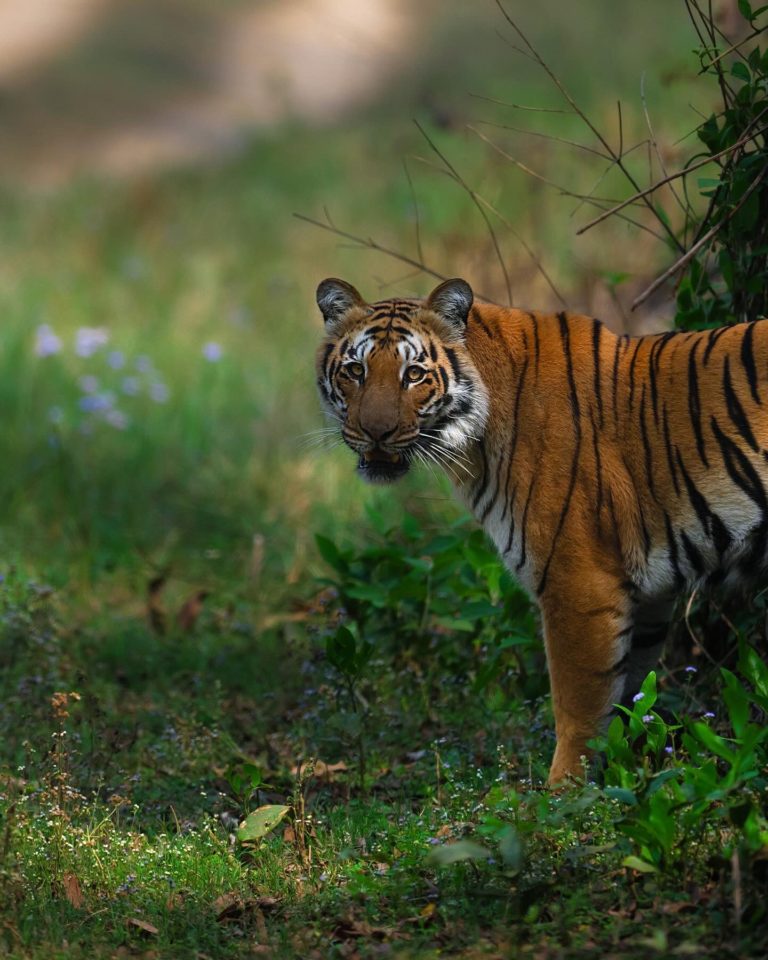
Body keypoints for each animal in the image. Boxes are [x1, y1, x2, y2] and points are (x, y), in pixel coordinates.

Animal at [312, 274, 768, 784]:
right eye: (355, 370)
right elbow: (631, 700)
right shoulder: (650, 595)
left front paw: (564, 792)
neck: (475, 443)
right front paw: (631, 773)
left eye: (413, 374)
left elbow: (579, 709)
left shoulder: (579, 583)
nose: (377, 433)